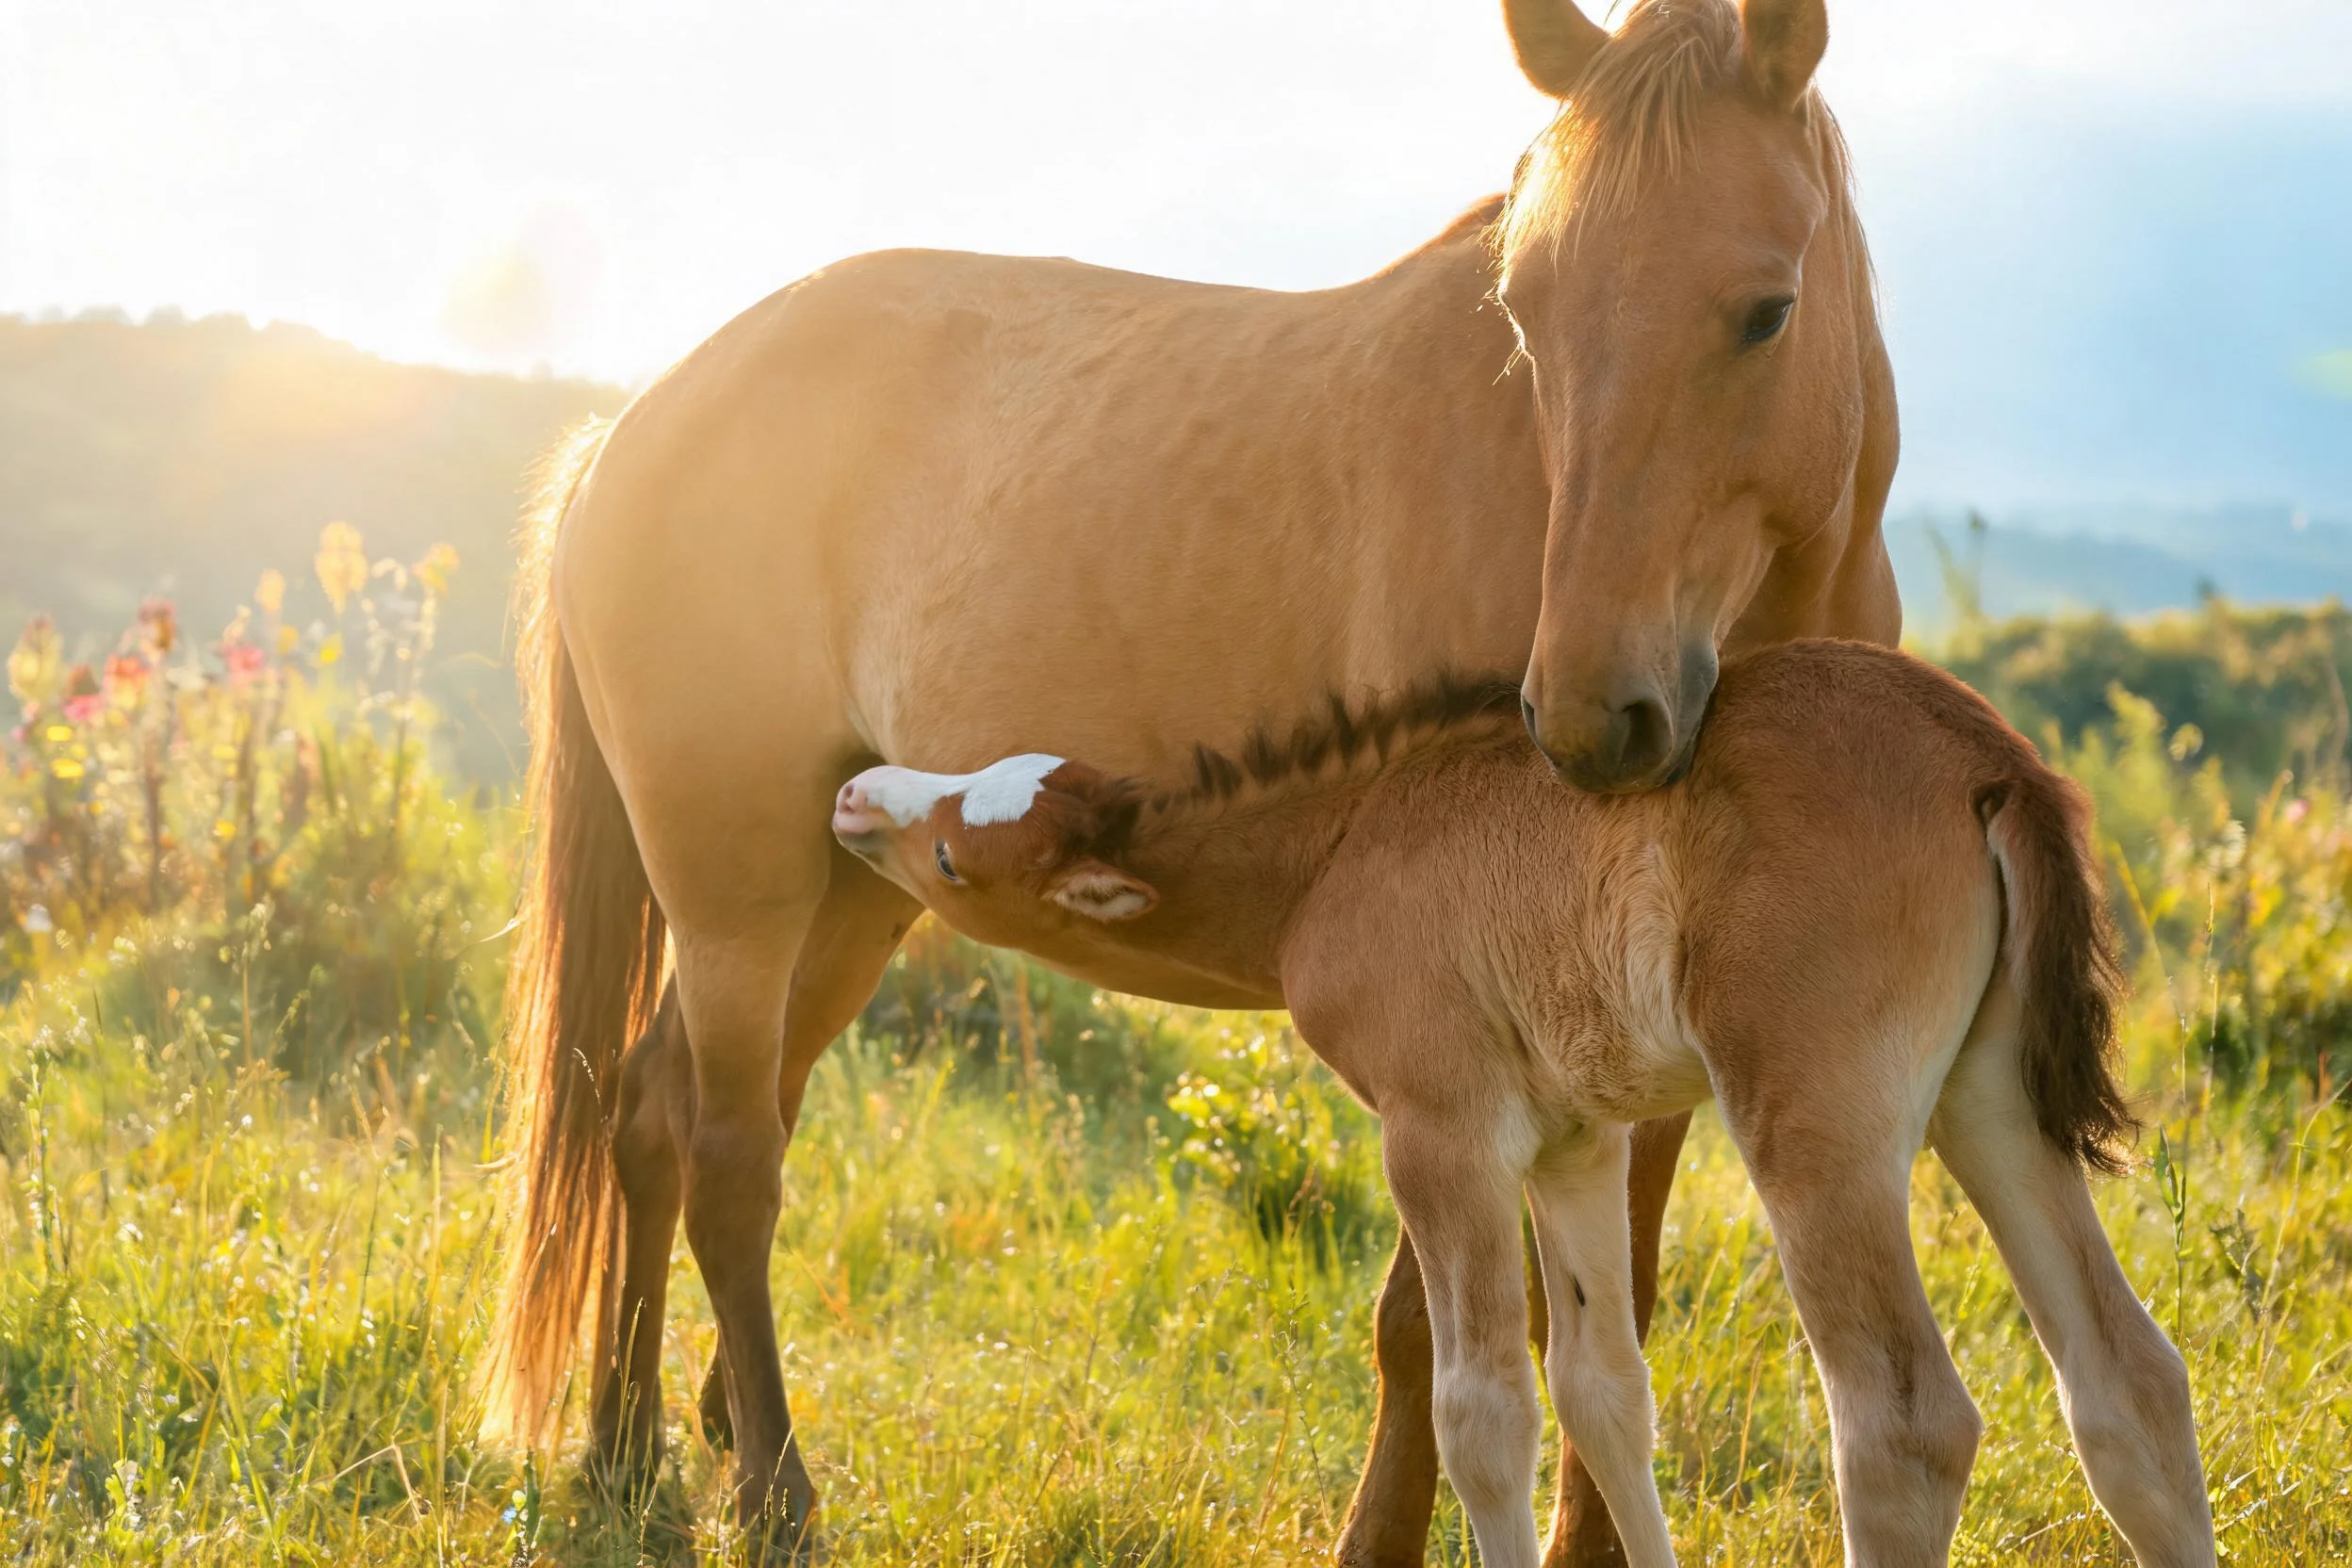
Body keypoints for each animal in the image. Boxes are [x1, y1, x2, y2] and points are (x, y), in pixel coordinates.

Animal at [489, 0, 1902, 1558]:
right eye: (1524, 314)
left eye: (1764, 310)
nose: (1596, 718)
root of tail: (629, 426)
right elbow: (1427, 1326)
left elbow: (1617, 1307)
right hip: (734, 896)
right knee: (728, 1155)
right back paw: (772, 1495)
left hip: (848, 895)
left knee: (648, 1112)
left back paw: (631, 1454)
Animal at [829, 640, 2217, 1568]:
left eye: (951, 855)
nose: (852, 795)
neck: (1340, 847)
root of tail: (1991, 755)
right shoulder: (1575, 1142)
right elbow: (1604, 1390)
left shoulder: (1441, 1131)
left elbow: (1481, 1409)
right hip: (1992, 1103)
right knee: (2130, 1380)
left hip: (1820, 1127)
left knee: (1905, 1422)